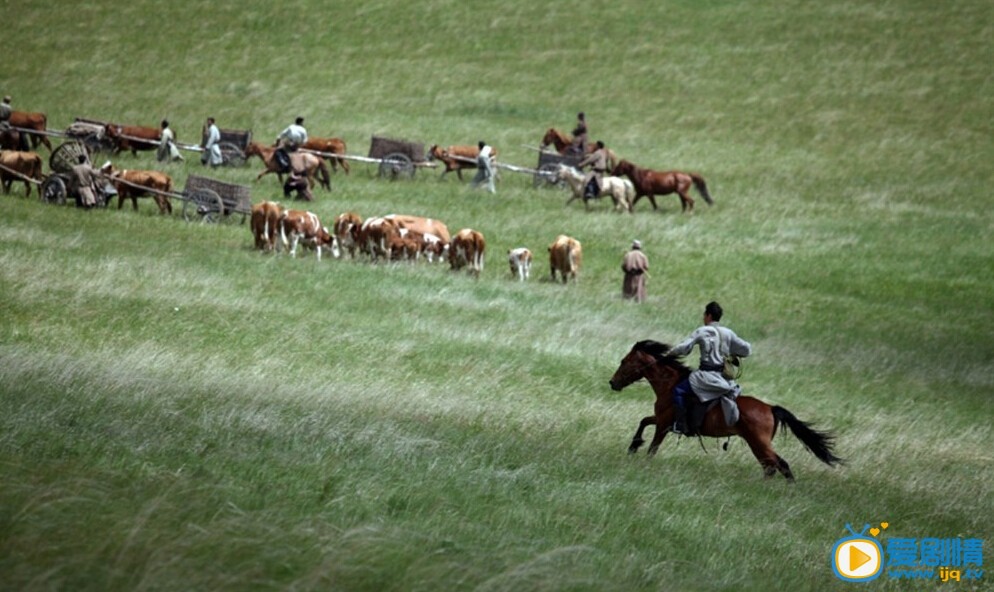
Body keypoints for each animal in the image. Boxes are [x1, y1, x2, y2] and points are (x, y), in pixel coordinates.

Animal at [604, 342, 836, 480]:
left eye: (624, 361)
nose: (612, 383)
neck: (669, 384)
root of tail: (770, 408)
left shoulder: (663, 424)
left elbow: (652, 447)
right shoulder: (661, 420)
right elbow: (643, 421)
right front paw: (633, 446)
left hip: (758, 442)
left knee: (779, 464)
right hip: (757, 444)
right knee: (771, 466)